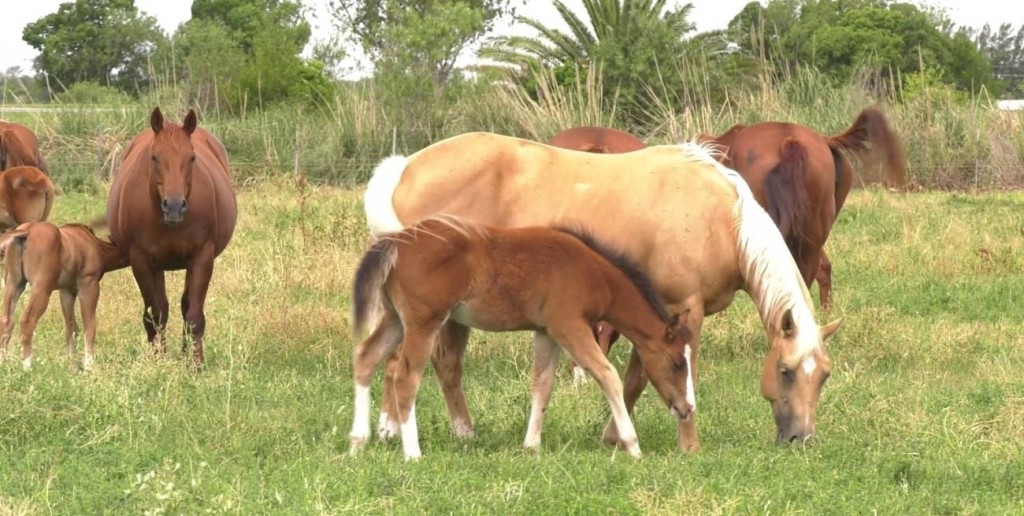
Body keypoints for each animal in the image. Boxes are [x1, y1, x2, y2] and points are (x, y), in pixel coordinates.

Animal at [0, 222, 128, 370]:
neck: (96, 246)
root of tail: (27, 230)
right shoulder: (89, 285)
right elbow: (89, 327)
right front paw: (88, 366)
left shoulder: (67, 292)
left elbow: (71, 328)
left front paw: (71, 364)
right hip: (42, 287)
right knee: (27, 321)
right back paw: (27, 367)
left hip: (13, 284)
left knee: (6, 321)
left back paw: (5, 365)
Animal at [106, 107, 237, 366]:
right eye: (154, 157)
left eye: (192, 158)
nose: (174, 206)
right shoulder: (141, 260)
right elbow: (154, 315)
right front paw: (157, 361)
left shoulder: (202, 257)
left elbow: (194, 315)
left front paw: (195, 364)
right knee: (163, 309)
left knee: (185, 306)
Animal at [348, 216, 694, 460]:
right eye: (678, 362)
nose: (687, 408)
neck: (594, 272)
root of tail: (395, 241)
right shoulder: (569, 326)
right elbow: (607, 375)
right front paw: (632, 445)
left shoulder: (546, 332)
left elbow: (542, 385)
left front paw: (531, 445)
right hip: (424, 322)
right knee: (405, 376)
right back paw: (412, 452)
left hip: (395, 319)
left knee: (366, 357)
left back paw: (357, 441)